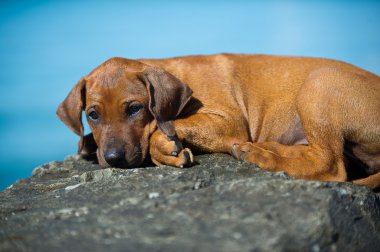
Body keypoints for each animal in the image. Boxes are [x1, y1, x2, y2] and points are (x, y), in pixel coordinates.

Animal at [56, 54, 380, 189]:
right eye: (93, 115)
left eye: (135, 108)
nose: (113, 159)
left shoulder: (229, 122)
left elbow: (160, 128)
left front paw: (164, 148)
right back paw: (265, 148)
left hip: (320, 82)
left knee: (331, 165)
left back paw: (262, 156)